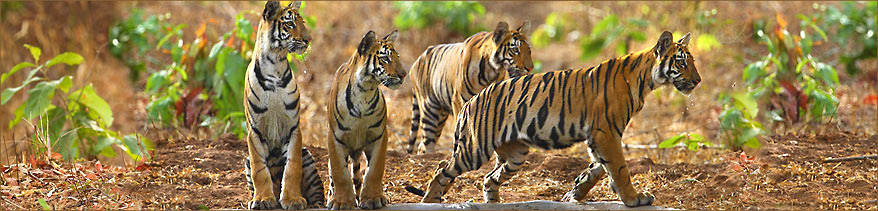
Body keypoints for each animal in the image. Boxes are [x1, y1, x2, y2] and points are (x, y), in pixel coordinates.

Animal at [241, 1, 324, 209]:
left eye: (303, 22)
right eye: (290, 24)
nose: (308, 39)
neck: (275, 63)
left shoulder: (293, 127)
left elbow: (292, 168)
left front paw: (293, 199)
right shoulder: (255, 130)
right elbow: (260, 170)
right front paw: (263, 200)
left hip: (307, 157)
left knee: (318, 192)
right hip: (246, 160)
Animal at [324, 29, 406, 209]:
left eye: (398, 57)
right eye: (385, 58)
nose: (403, 74)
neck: (365, 90)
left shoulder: (379, 135)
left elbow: (374, 170)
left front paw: (373, 199)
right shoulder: (335, 137)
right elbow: (340, 172)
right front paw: (341, 202)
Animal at [408, 21, 536, 155]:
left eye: (529, 50)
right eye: (515, 50)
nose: (530, 68)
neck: (491, 70)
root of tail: (416, 61)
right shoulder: (459, 100)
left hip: (440, 116)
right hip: (429, 110)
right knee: (426, 143)